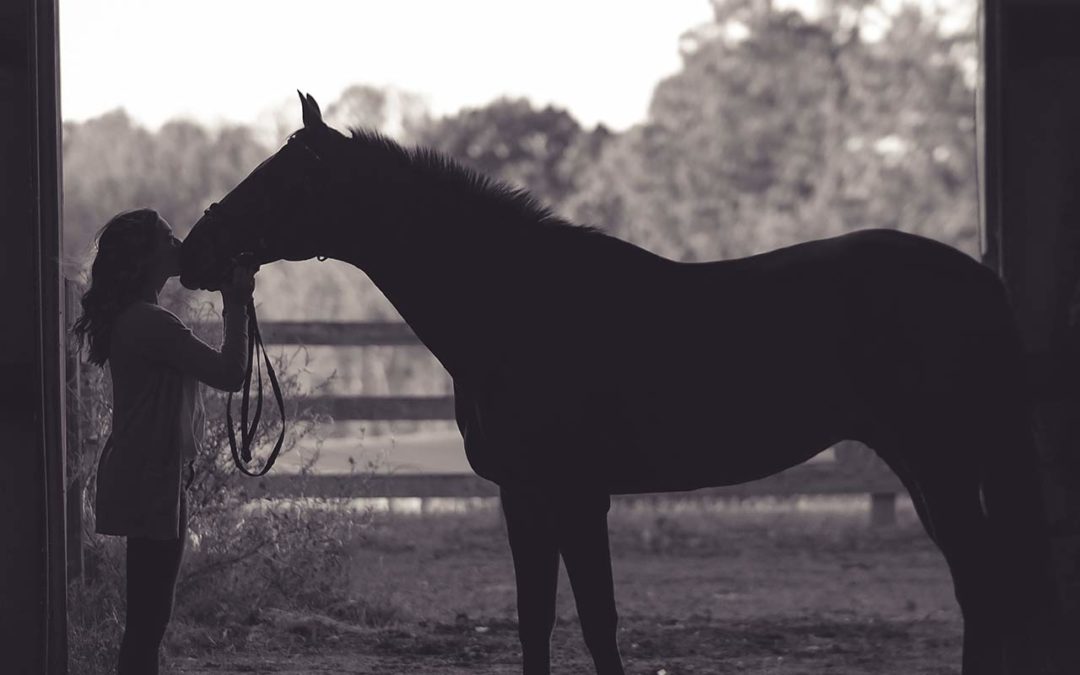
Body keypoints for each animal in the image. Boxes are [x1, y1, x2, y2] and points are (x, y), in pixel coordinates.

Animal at [181, 92, 1058, 669]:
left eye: (281, 179)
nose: (194, 251)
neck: (517, 304)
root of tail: (979, 279)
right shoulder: (524, 495)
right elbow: (537, 620)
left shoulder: (576, 492)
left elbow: (599, 621)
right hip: (926, 464)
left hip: (941, 461)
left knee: (988, 586)